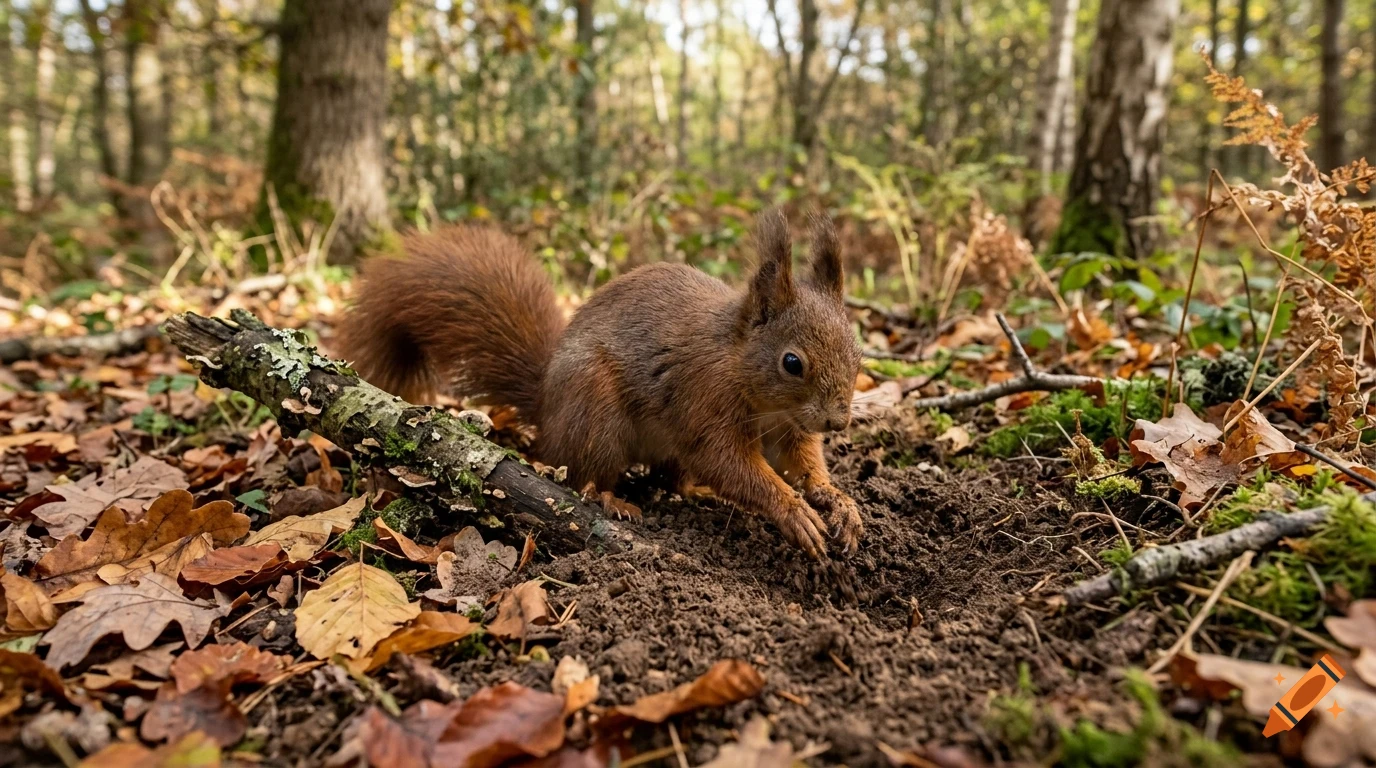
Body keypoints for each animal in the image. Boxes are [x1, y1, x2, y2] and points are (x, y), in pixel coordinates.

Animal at [336, 210, 864, 558]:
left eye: (859, 350)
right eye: (792, 362)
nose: (838, 421)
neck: (739, 363)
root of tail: (547, 410)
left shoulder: (791, 427)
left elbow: (802, 462)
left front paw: (837, 501)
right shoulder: (704, 399)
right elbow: (729, 462)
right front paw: (792, 510)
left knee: (670, 479)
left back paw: (695, 492)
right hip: (597, 411)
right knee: (588, 473)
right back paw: (612, 499)